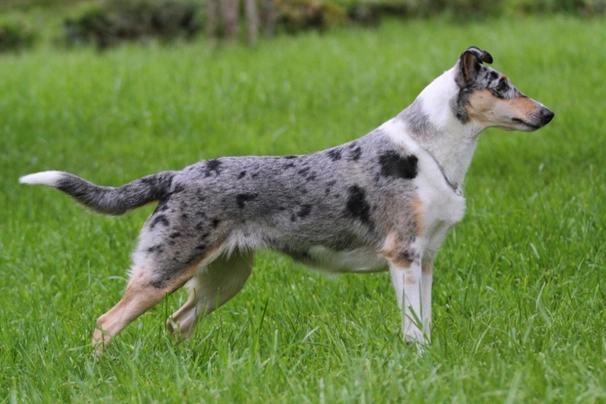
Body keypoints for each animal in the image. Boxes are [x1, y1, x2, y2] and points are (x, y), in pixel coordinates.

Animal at [19, 45, 556, 352]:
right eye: (502, 88)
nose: (548, 114)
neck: (430, 151)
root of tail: (175, 177)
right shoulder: (403, 256)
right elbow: (411, 330)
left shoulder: (424, 260)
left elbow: (424, 325)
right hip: (167, 268)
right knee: (106, 323)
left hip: (224, 276)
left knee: (177, 323)